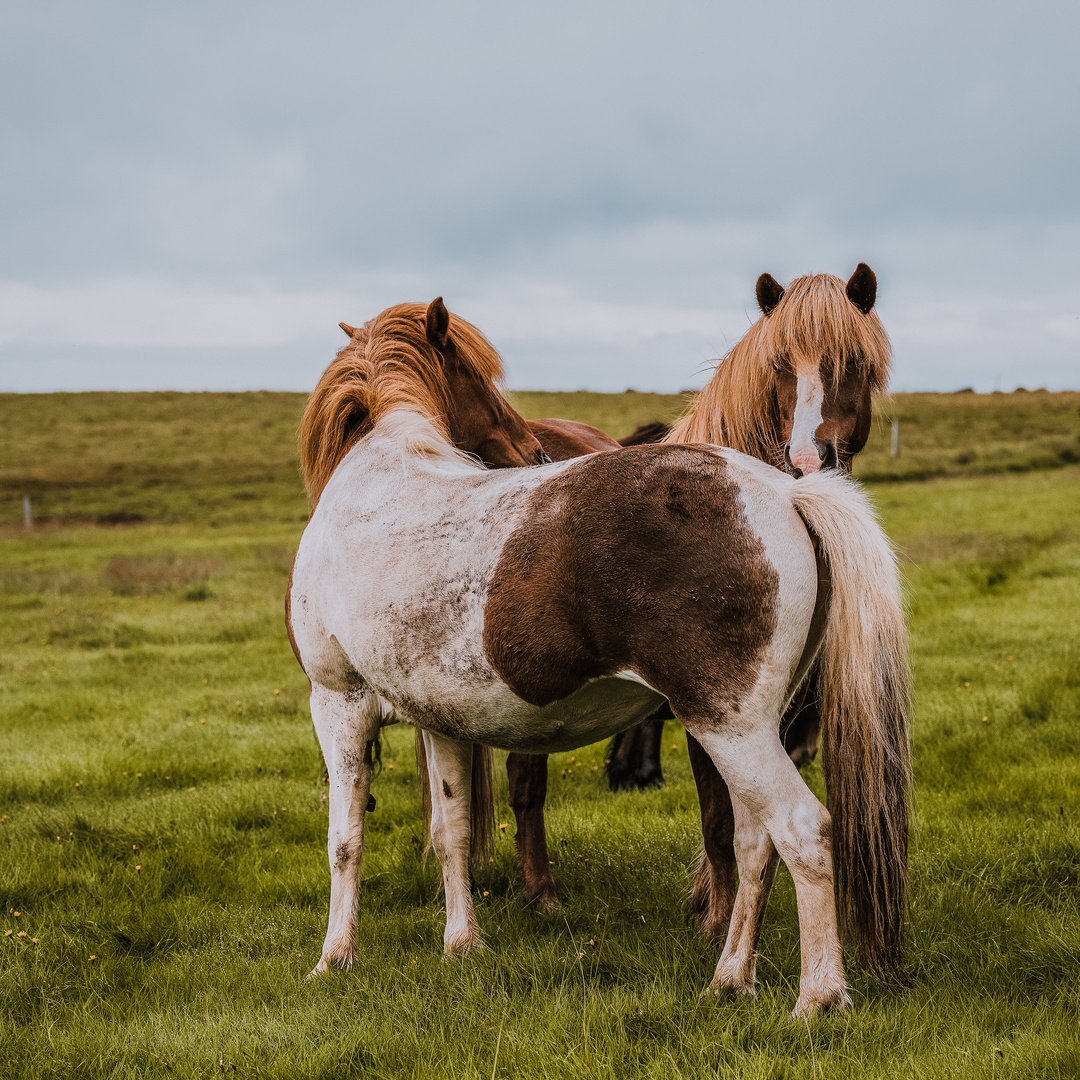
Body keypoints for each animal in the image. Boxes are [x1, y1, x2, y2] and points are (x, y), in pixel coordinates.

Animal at [289, 293, 911, 1010]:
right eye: (477, 377)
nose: (529, 449)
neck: (377, 476)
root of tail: (786, 492)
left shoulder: (337, 704)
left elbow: (344, 840)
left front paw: (334, 959)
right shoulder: (437, 720)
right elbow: (452, 832)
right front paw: (461, 944)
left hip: (732, 729)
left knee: (802, 831)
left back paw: (819, 998)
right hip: (743, 734)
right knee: (756, 841)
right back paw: (730, 980)